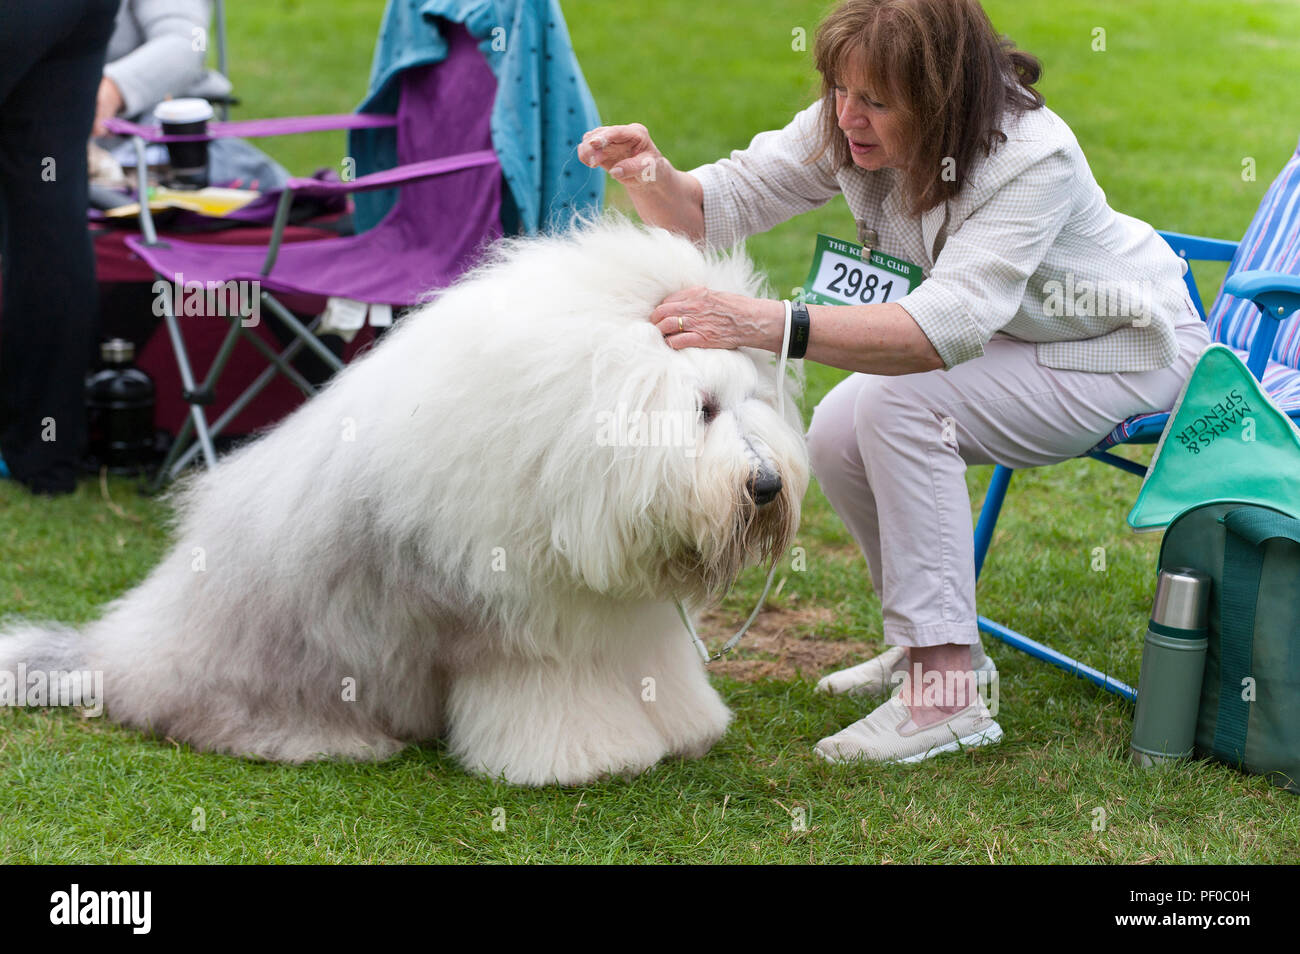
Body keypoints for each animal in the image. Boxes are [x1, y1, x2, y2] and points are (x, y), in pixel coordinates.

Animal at [0, 218, 806, 790]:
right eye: (703, 408)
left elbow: (658, 669)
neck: (574, 438)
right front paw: (583, 758)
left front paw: (686, 728)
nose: (767, 485)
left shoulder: (626, 619)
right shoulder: (523, 630)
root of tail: (118, 654)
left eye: (753, 400)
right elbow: (554, 697)